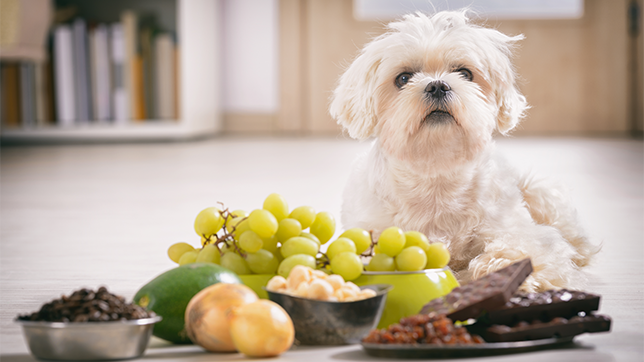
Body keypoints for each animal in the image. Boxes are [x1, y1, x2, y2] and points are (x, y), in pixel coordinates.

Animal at [332, 10, 600, 294]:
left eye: (464, 73)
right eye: (403, 78)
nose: (437, 85)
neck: (436, 171)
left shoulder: (522, 233)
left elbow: (521, 249)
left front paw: (507, 273)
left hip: (538, 192)